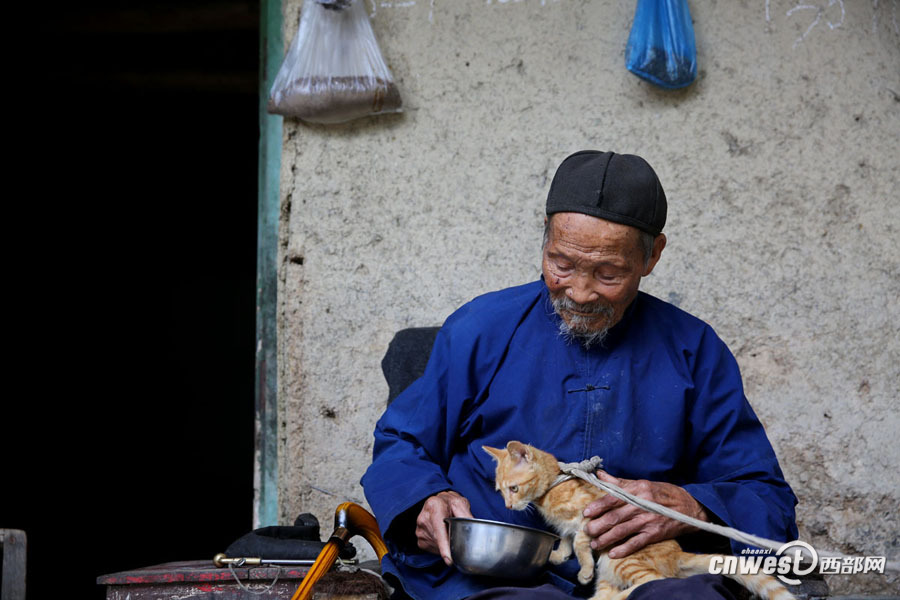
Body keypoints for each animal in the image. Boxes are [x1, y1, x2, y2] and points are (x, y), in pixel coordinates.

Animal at [486, 440, 796, 600]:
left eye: (514, 489)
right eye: (500, 491)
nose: (508, 505)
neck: (552, 489)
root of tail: (678, 554)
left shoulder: (588, 518)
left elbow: (581, 545)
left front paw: (582, 570)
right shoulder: (566, 528)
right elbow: (565, 540)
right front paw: (557, 556)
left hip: (620, 559)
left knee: (654, 581)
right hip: (608, 571)